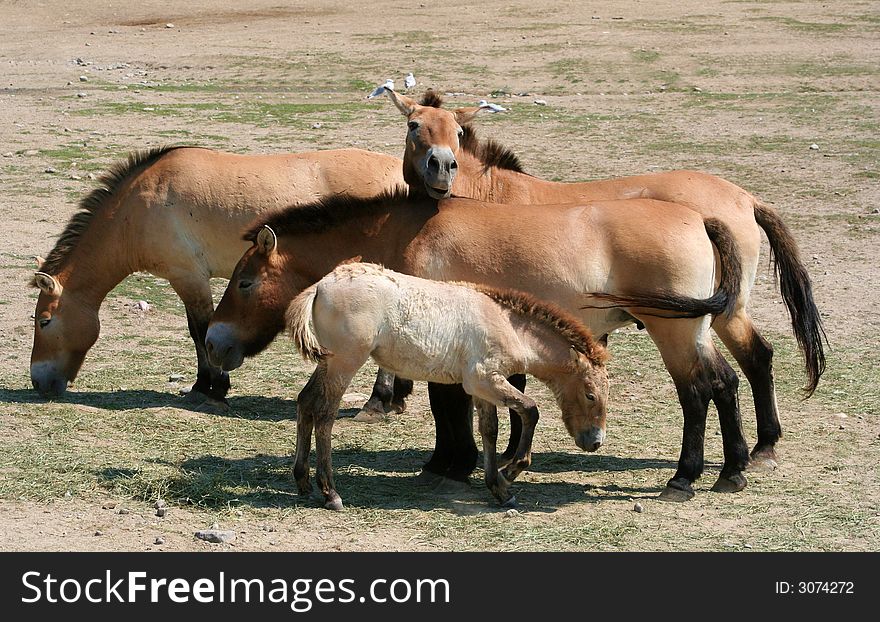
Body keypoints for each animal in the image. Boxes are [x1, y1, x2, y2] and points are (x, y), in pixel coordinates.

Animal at [28, 145, 406, 404]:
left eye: (44, 321)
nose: (38, 383)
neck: (136, 210)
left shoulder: (188, 277)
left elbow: (199, 330)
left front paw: (211, 385)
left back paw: (380, 399)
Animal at [208, 193, 748, 504]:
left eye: (245, 282)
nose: (214, 344)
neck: (408, 235)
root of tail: (700, 218)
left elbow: (448, 405)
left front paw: (454, 464)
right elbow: (459, 406)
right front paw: (466, 466)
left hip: (675, 333)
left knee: (697, 392)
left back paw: (685, 477)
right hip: (696, 331)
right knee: (724, 382)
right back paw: (734, 470)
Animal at [374, 85, 828, 470]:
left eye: (456, 131)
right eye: (414, 125)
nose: (442, 167)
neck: (491, 195)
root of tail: (744, 198)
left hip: (714, 316)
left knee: (746, 364)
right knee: (755, 359)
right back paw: (760, 448)